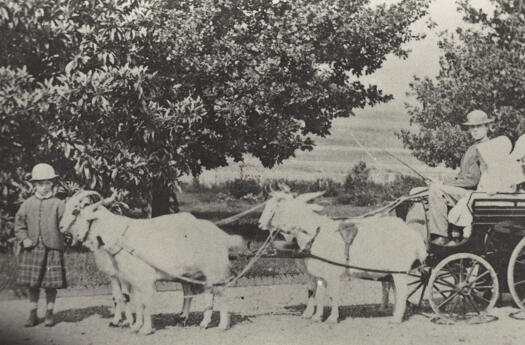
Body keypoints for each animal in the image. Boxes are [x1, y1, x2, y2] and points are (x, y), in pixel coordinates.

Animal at [60, 191, 243, 334]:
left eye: (76, 212)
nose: (62, 228)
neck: (120, 234)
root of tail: (223, 236)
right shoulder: (129, 278)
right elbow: (133, 300)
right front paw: (134, 325)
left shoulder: (140, 278)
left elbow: (139, 301)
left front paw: (142, 328)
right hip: (200, 274)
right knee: (203, 293)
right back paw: (199, 322)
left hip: (215, 271)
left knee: (221, 294)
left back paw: (222, 325)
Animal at [258, 191, 426, 322]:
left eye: (276, 207)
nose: (259, 224)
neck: (316, 234)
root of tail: (414, 235)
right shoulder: (318, 272)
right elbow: (317, 292)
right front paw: (316, 316)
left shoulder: (332, 272)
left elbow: (332, 295)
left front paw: (332, 318)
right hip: (393, 271)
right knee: (395, 289)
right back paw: (393, 312)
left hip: (400, 270)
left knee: (402, 291)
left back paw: (396, 318)